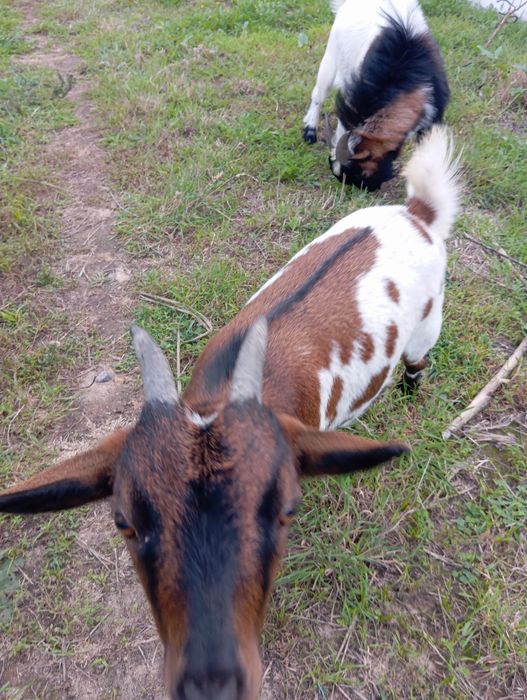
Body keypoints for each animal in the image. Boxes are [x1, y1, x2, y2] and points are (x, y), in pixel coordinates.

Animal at [0, 126, 459, 700]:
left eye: (287, 510)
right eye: (124, 521)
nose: (210, 682)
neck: (217, 397)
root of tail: (418, 213)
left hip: (427, 326)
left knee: (418, 362)